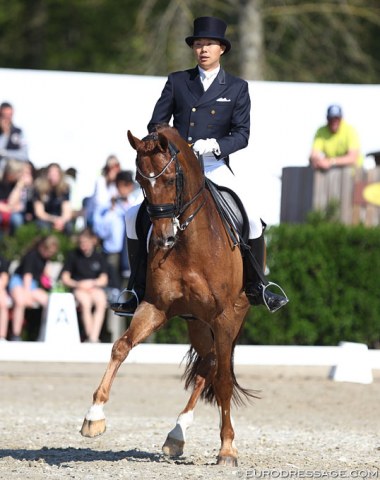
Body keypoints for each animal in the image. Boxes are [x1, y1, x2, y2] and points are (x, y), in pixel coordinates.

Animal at [79, 125, 252, 466]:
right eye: (139, 181)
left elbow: (225, 381)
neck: (189, 244)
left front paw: (227, 448)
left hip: (231, 317)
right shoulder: (155, 307)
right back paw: (177, 434)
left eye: (172, 179)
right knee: (209, 364)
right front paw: (94, 416)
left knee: (219, 369)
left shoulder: (224, 315)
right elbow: (121, 347)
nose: (164, 238)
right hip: (197, 323)